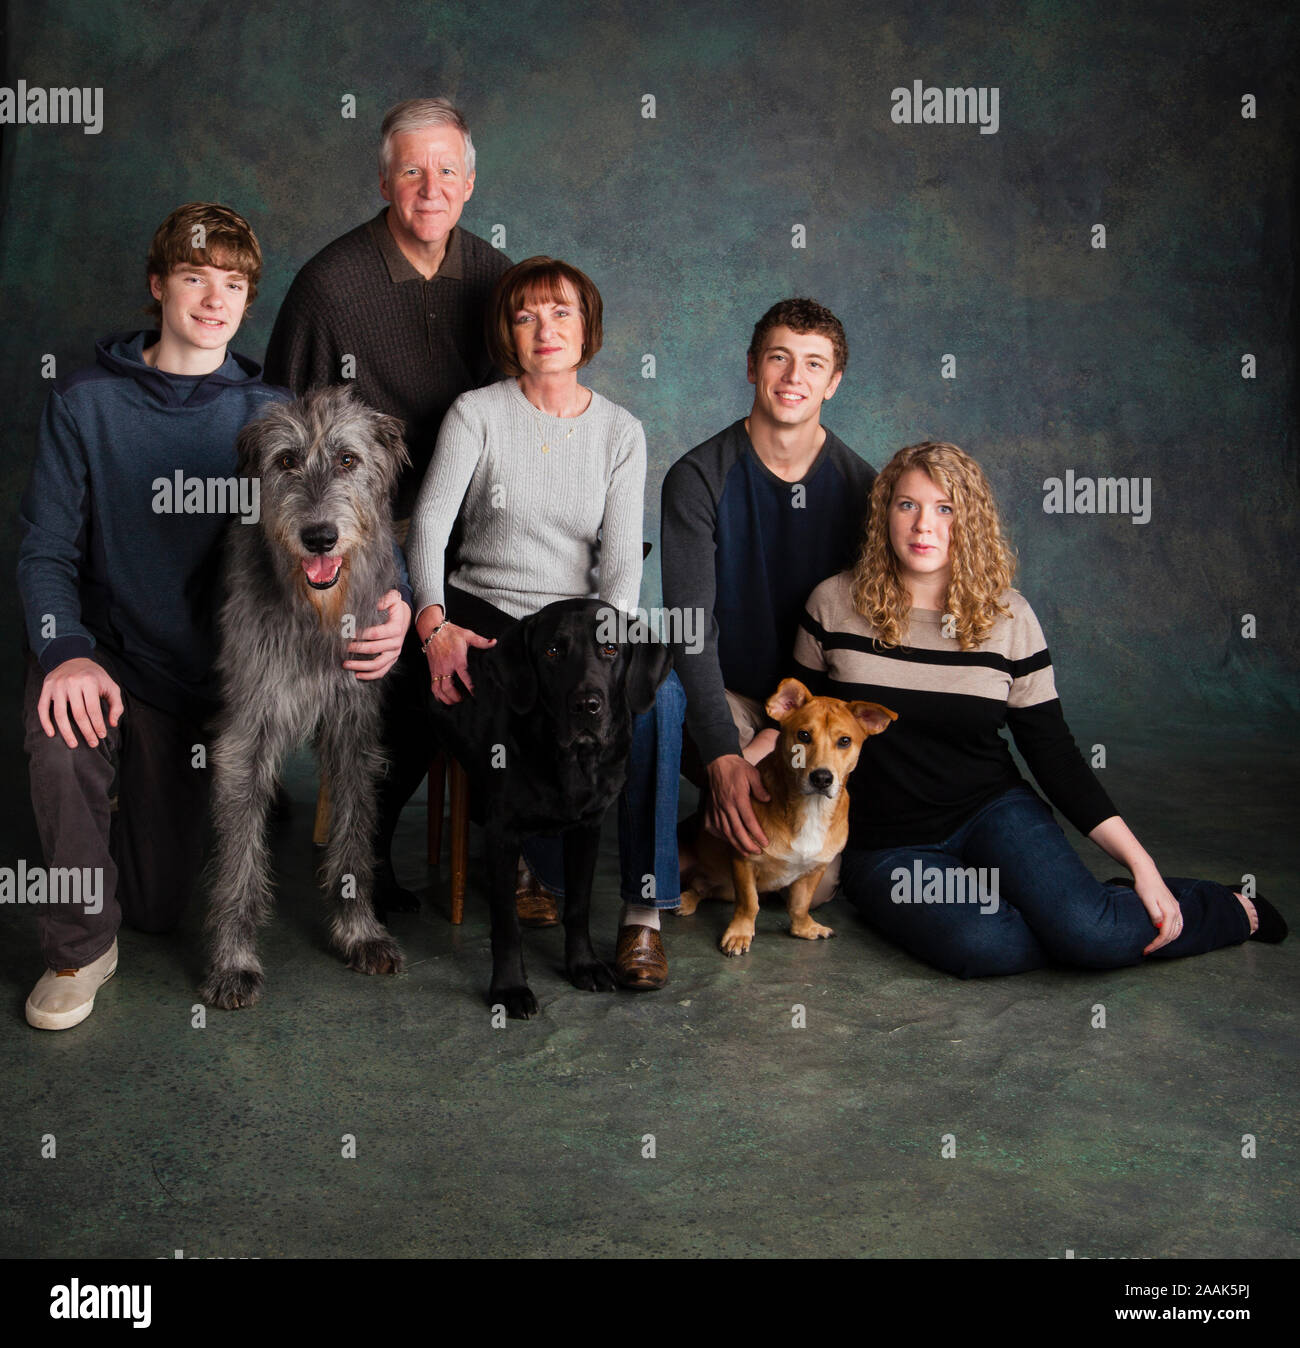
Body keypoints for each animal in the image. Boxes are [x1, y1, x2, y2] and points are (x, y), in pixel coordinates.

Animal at [679, 679, 895, 954]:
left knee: (702, 888)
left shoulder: (816, 868)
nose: (822, 778)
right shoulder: (744, 859)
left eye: (845, 741)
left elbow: (799, 905)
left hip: (724, 887)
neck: (810, 808)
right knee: (693, 886)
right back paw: (682, 900)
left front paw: (804, 928)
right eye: (803, 735)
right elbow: (749, 903)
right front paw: (740, 933)